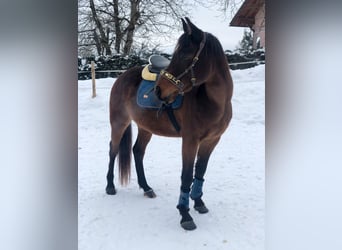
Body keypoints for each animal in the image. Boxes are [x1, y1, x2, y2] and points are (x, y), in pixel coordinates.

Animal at [105, 17, 232, 230]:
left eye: (185, 53)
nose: (158, 90)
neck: (213, 102)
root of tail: (121, 76)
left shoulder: (212, 140)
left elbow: (200, 171)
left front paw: (198, 202)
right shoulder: (190, 141)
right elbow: (187, 175)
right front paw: (185, 214)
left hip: (145, 128)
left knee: (137, 151)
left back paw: (146, 188)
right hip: (119, 123)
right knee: (113, 150)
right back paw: (110, 186)